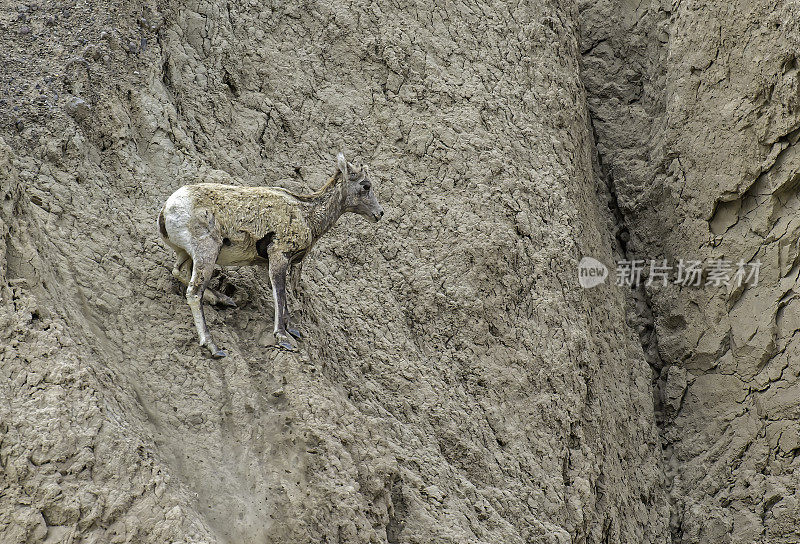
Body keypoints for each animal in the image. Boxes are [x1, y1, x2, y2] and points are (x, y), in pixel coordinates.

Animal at [159, 153, 384, 356]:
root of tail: (166, 210)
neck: (308, 215)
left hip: (186, 254)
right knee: (194, 292)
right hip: (206, 253)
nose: (379, 213)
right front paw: (283, 338)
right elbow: (280, 293)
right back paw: (213, 346)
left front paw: (292, 330)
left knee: (178, 272)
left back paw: (223, 299)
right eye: (366, 186)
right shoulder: (279, 256)